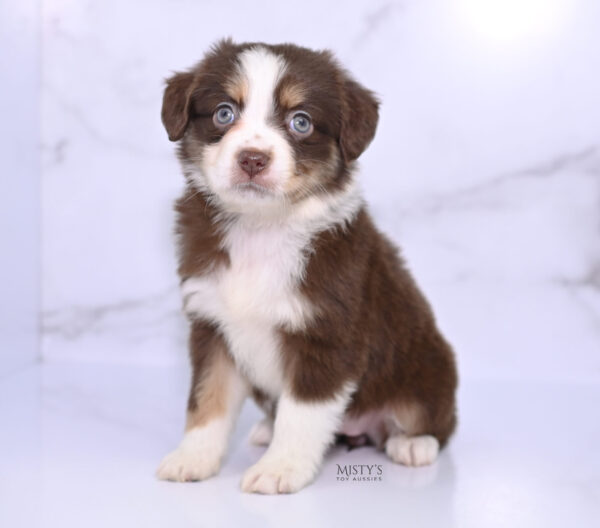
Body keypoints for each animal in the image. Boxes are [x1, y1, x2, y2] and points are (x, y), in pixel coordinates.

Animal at [157, 39, 458, 492]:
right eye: (224, 112)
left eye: (300, 121)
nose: (252, 159)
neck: (261, 229)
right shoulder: (212, 326)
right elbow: (207, 399)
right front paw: (192, 458)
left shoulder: (327, 334)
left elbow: (301, 413)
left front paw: (280, 469)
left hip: (428, 369)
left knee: (433, 419)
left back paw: (413, 444)